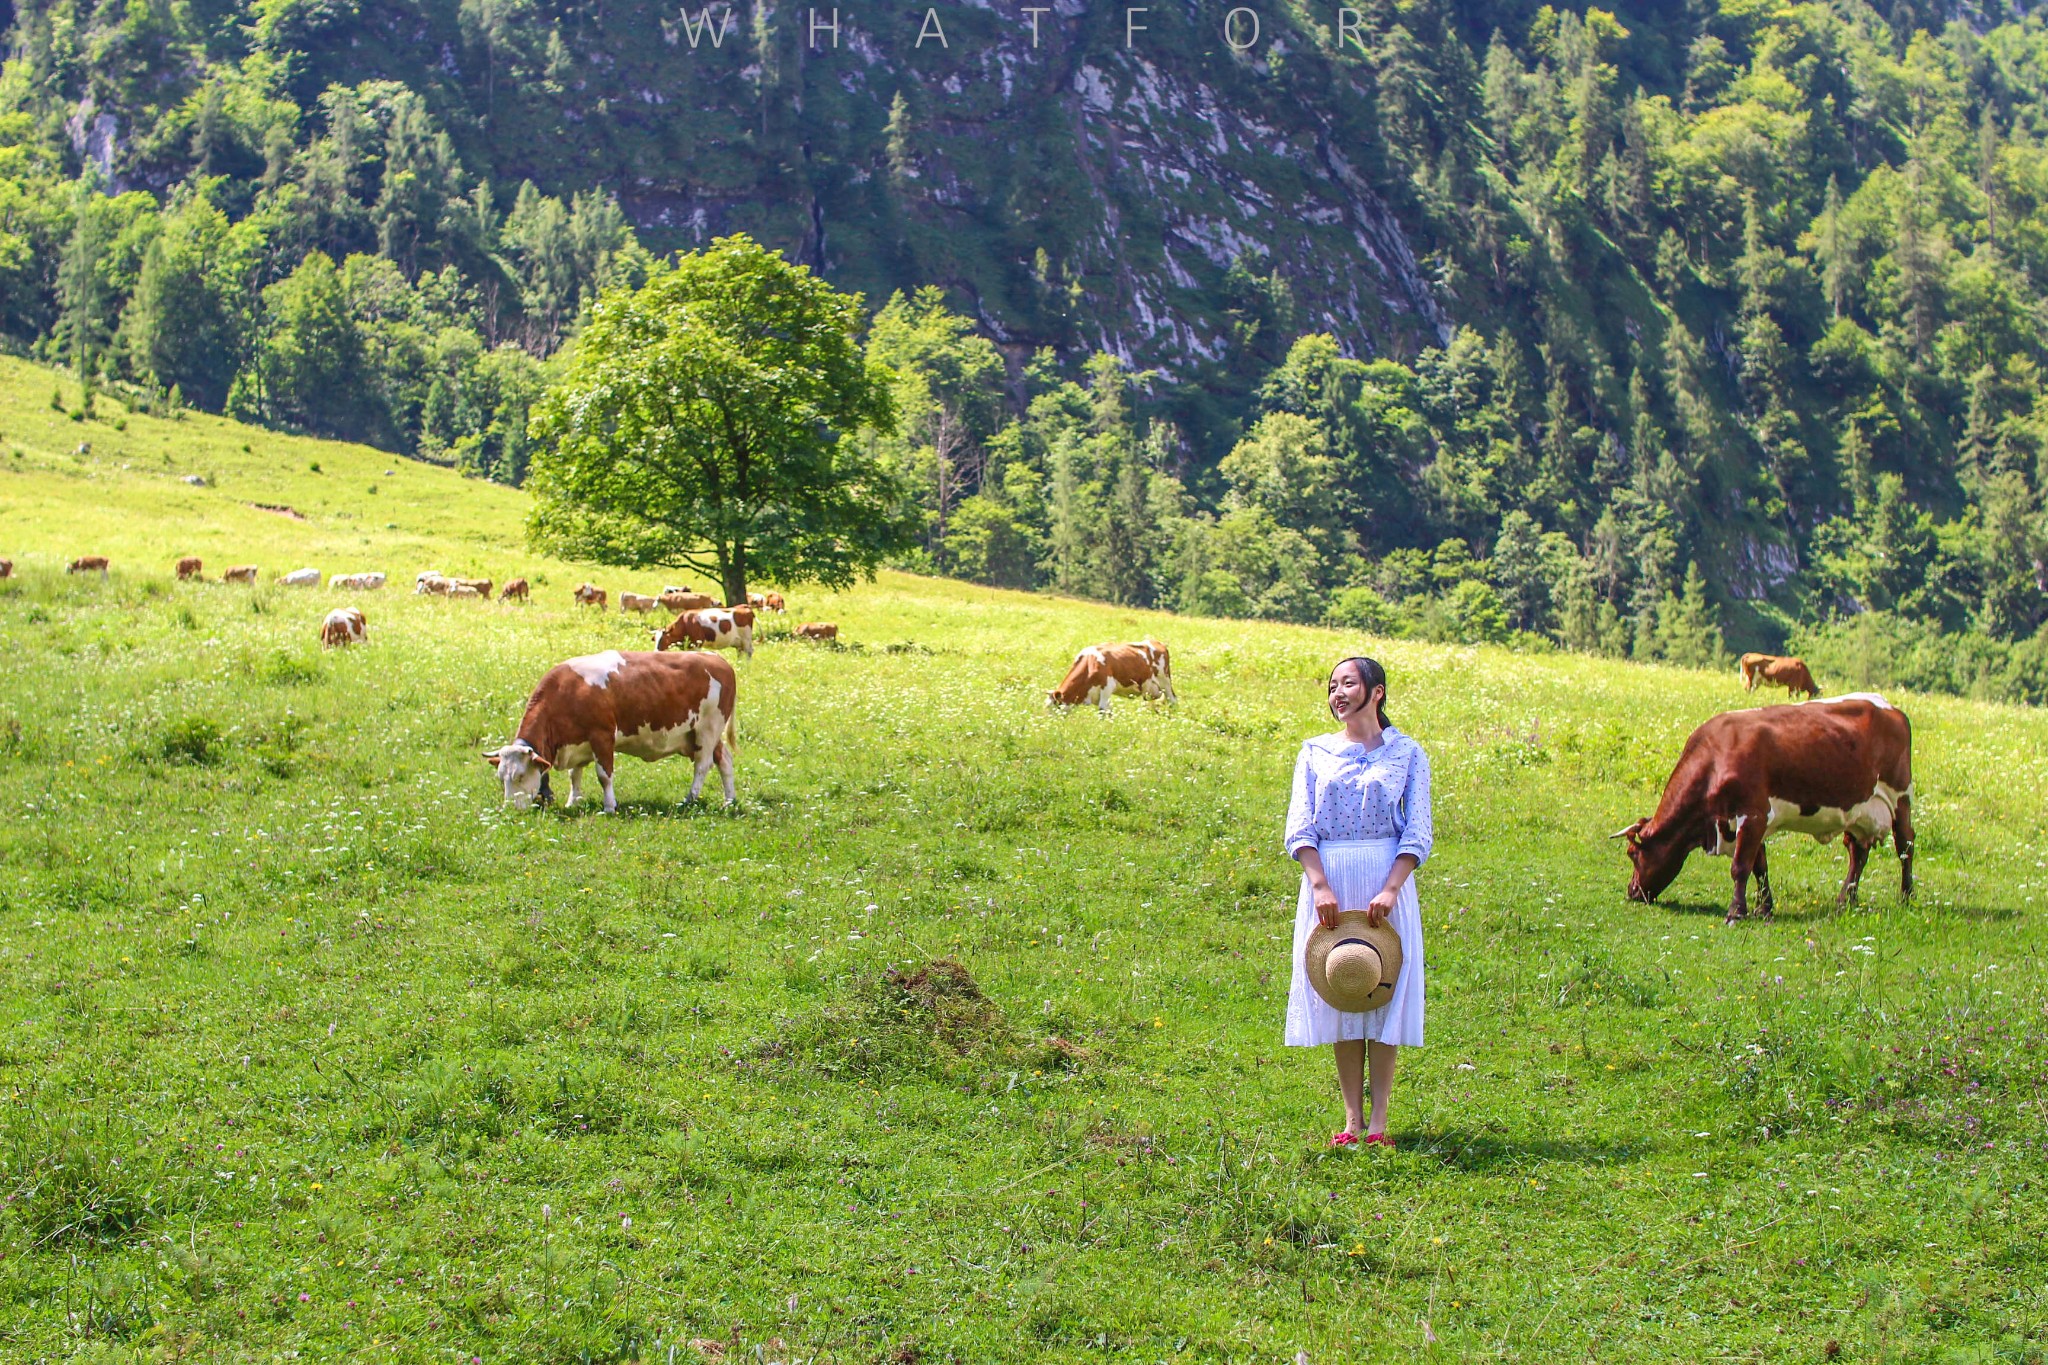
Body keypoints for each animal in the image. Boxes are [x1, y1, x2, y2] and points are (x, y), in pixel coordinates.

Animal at [483, 650, 741, 810]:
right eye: (500, 778)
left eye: (520, 776)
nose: (510, 809)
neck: (567, 692)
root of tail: (717, 659)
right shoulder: (577, 742)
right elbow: (574, 775)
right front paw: (573, 801)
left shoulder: (602, 736)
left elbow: (604, 775)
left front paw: (609, 806)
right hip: (695, 735)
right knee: (724, 760)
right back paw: (729, 800)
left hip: (708, 729)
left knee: (703, 765)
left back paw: (689, 799)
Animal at [1048, 642, 1179, 716]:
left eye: (1056, 706)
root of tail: (1157, 643)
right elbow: (1109, 710)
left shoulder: (1107, 687)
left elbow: (1102, 711)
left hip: (1165, 681)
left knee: (1173, 700)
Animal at [1613, 695, 1916, 929]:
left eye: (1632, 854)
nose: (1631, 892)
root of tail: (1891, 707)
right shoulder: (1753, 821)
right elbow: (1760, 866)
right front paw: (1764, 908)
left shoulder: (1753, 815)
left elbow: (1740, 867)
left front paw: (1736, 913)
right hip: (1858, 810)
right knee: (1857, 852)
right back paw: (1846, 900)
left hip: (1900, 797)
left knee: (1905, 845)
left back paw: (1907, 897)